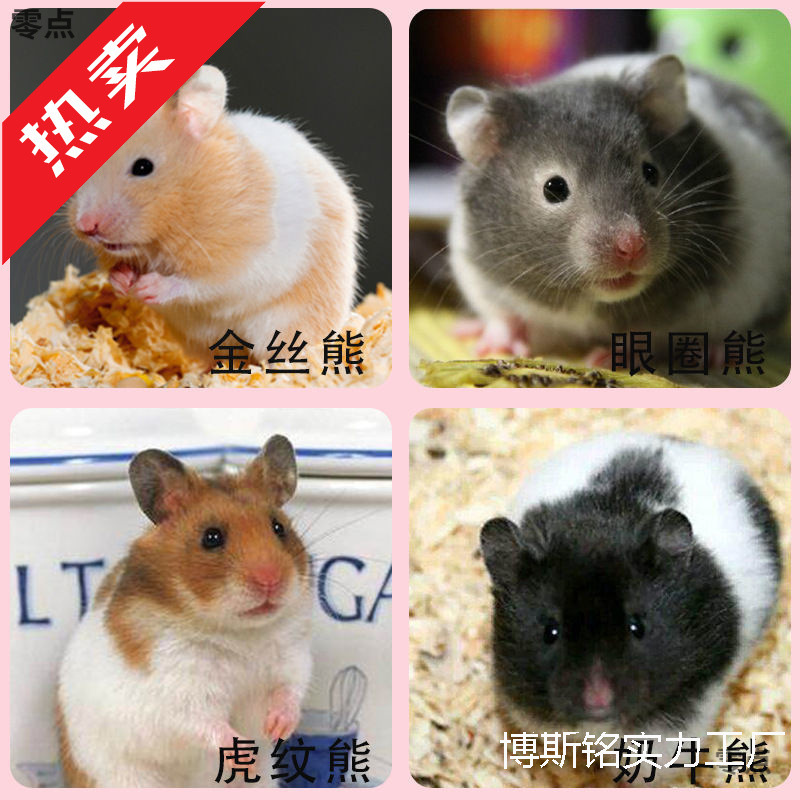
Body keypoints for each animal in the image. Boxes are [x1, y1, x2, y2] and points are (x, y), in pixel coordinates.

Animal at [57, 435, 313, 787]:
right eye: (211, 537)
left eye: (278, 528)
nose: (271, 581)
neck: (241, 634)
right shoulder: (180, 692)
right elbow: (208, 726)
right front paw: (244, 757)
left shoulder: (292, 659)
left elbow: (288, 693)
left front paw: (277, 728)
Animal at [69, 65, 359, 365]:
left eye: (142, 167)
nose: (85, 225)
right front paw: (124, 280)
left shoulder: (239, 264)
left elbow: (196, 284)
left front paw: (148, 287)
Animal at [446, 55, 790, 359]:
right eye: (553, 188)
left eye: (651, 172)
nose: (632, 246)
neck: (593, 303)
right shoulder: (478, 275)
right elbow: (503, 316)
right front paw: (491, 348)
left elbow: (650, 337)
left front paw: (602, 358)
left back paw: (719, 355)